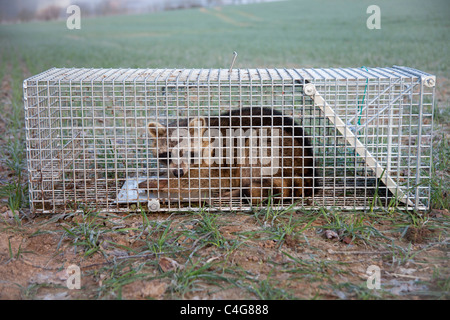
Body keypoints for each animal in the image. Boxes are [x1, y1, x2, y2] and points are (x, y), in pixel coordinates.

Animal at [144, 106, 316, 204]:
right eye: (167, 154)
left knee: (251, 154)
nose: (178, 173)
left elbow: (201, 182)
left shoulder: (216, 163)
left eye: (188, 153)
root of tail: (309, 165)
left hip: (275, 146)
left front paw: (163, 183)